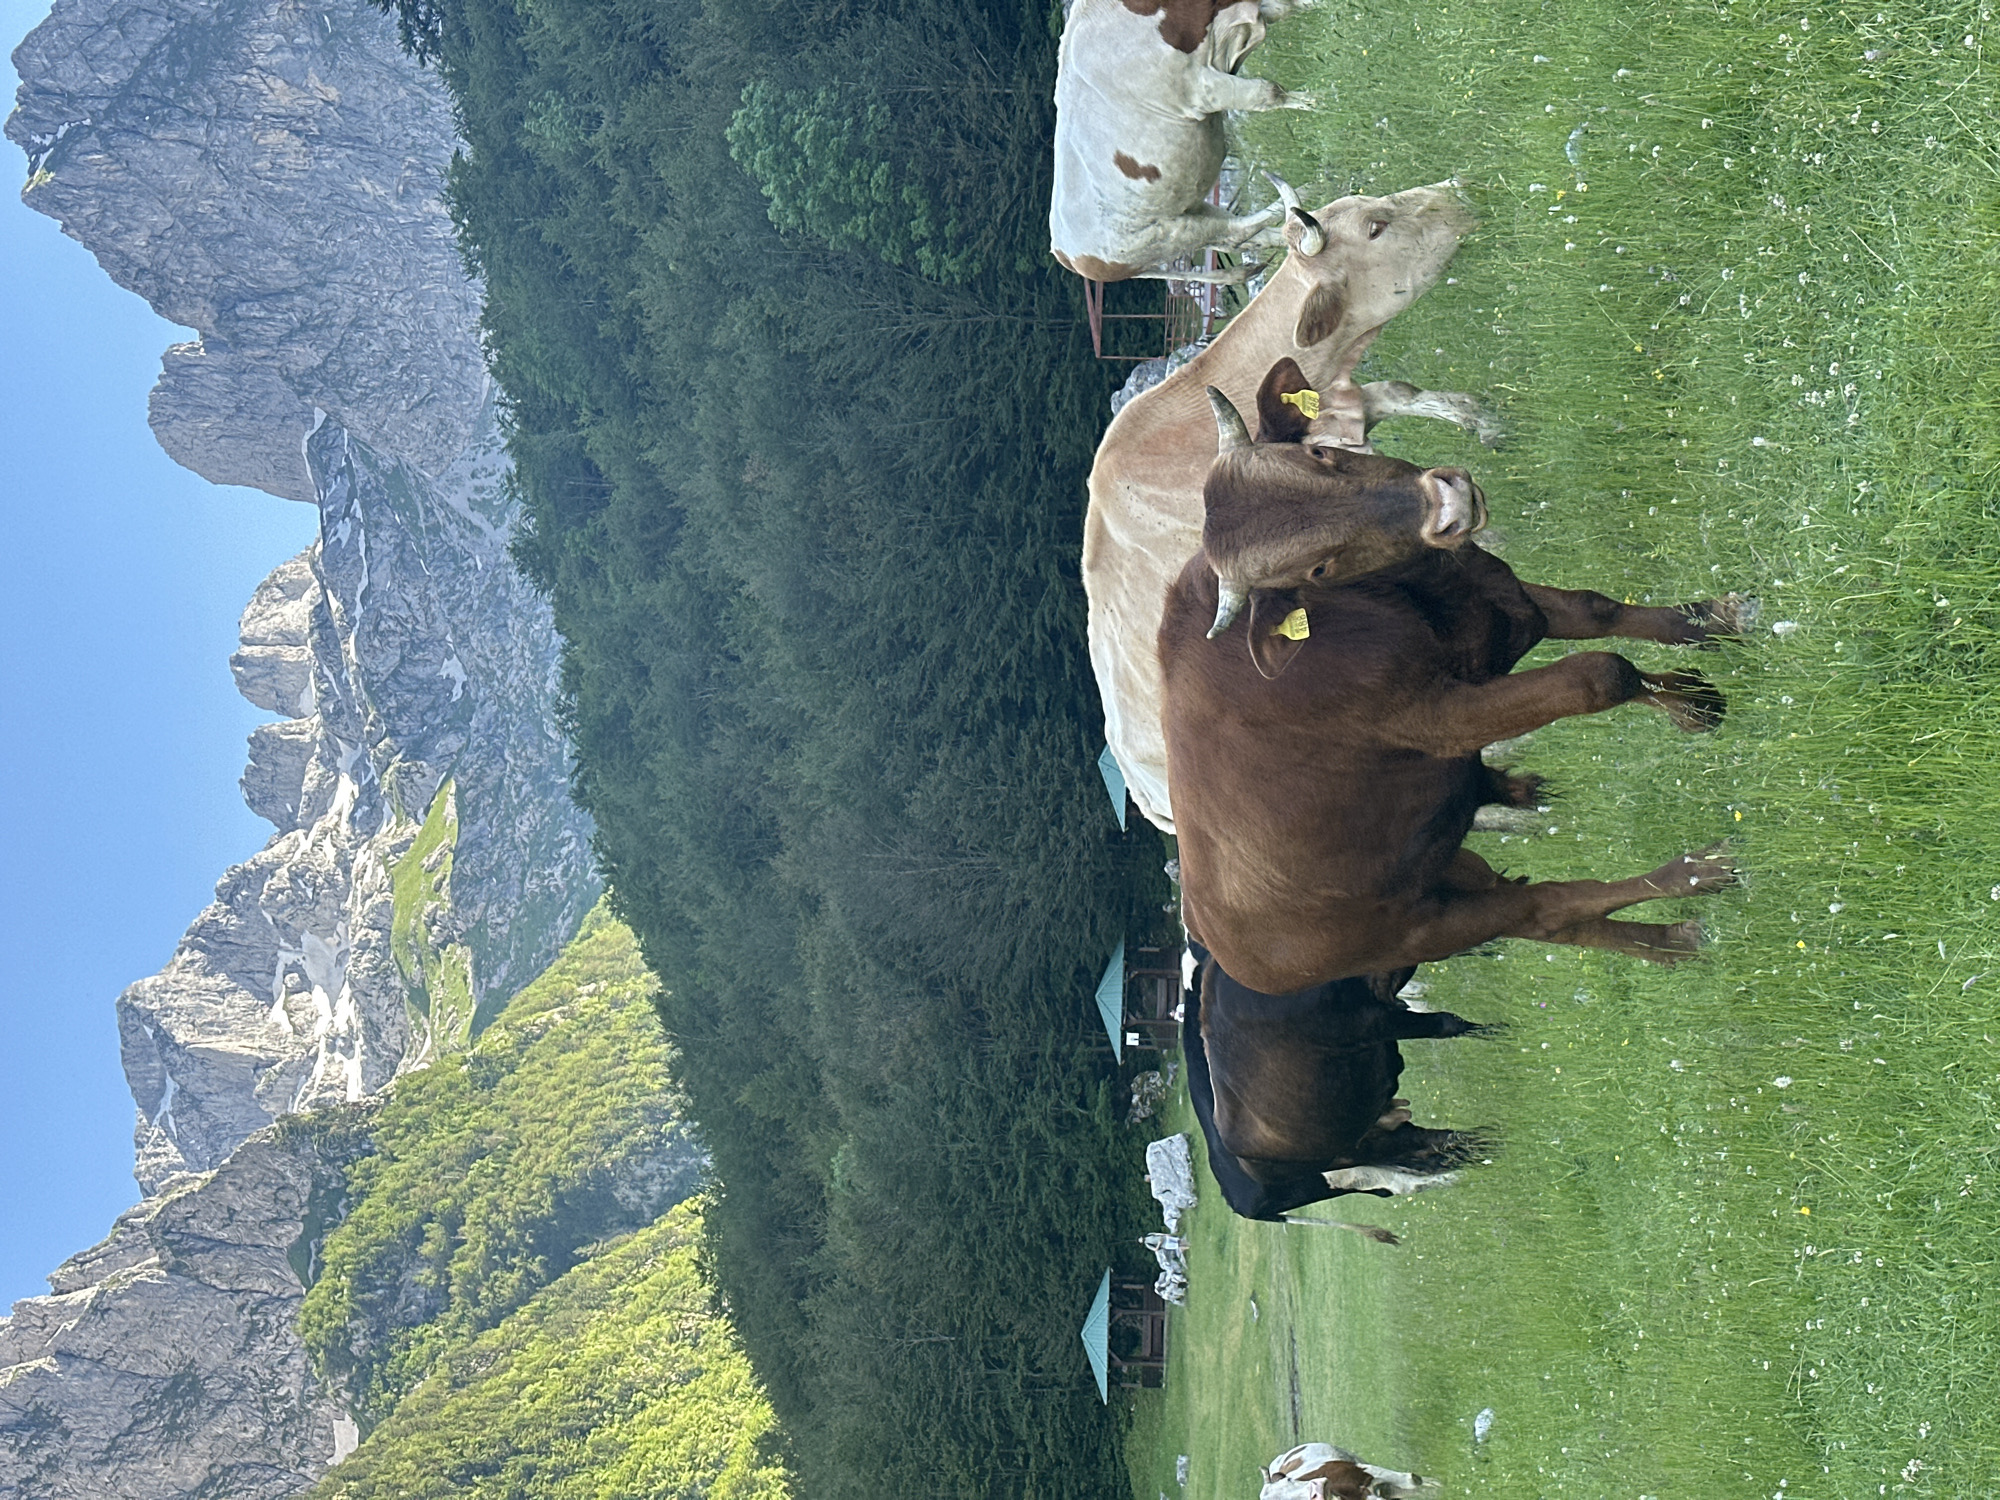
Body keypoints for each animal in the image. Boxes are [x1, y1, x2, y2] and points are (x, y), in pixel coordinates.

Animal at [1051, 0, 1316, 284]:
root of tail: (1067, 256)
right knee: (1236, 233)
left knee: (1248, 239)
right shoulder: (1202, 88)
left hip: (1191, 209)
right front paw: (1315, 101)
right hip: (1171, 233)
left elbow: (1286, 8)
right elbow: (1268, 92)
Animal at [1083, 182, 1498, 833]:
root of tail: (1137, 783)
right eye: (1376, 228)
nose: (1454, 193)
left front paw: (1480, 421)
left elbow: (1405, 395)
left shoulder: (1352, 419)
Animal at [1160, 358, 1754, 998]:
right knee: (1549, 909)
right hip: (1425, 926)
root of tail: (1222, 946)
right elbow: (1600, 675)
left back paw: (1671, 940)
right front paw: (1688, 693)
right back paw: (1694, 875)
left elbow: (1597, 610)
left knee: (1553, 921)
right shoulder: (1439, 718)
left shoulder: (1500, 598)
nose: (1447, 505)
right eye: (1316, 568)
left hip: (1453, 865)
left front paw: (1701, 653)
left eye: (1320, 454)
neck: (1406, 599)